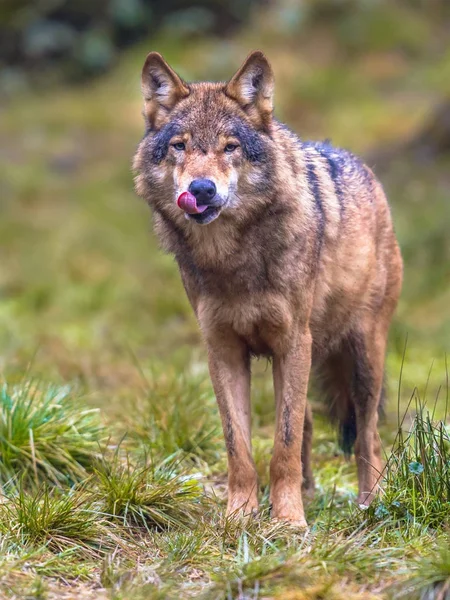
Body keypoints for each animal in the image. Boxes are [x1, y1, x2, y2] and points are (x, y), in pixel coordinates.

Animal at [132, 51, 402, 524]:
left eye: (230, 147)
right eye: (180, 145)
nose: (201, 189)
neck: (232, 260)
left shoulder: (291, 342)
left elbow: (283, 444)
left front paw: (289, 521)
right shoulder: (223, 349)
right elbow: (238, 446)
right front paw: (240, 515)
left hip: (362, 359)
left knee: (367, 437)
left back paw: (369, 506)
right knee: (310, 424)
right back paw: (310, 493)